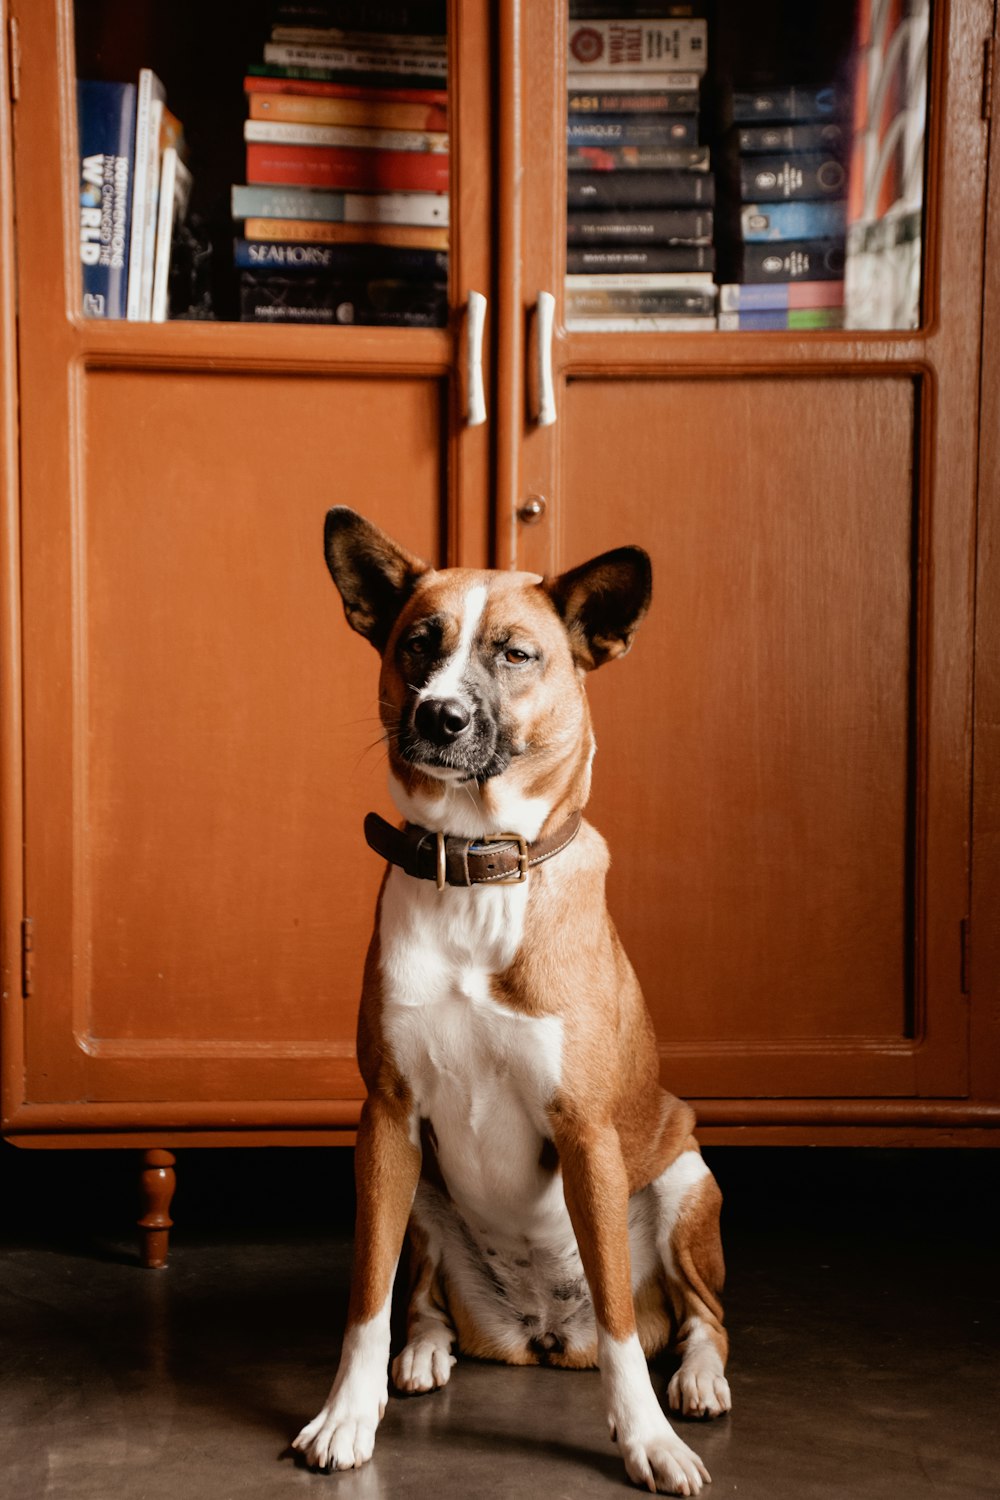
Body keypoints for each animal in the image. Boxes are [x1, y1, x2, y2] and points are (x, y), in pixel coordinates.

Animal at [293, 510, 731, 1494]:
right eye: (418, 643)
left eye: (516, 655)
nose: (439, 715)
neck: (474, 868)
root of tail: (540, 1335)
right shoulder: (385, 1121)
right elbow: (367, 1297)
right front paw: (348, 1414)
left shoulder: (588, 1135)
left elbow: (620, 1322)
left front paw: (648, 1440)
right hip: (421, 1191)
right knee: (421, 1300)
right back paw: (423, 1353)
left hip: (685, 1180)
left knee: (699, 1318)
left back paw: (696, 1383)